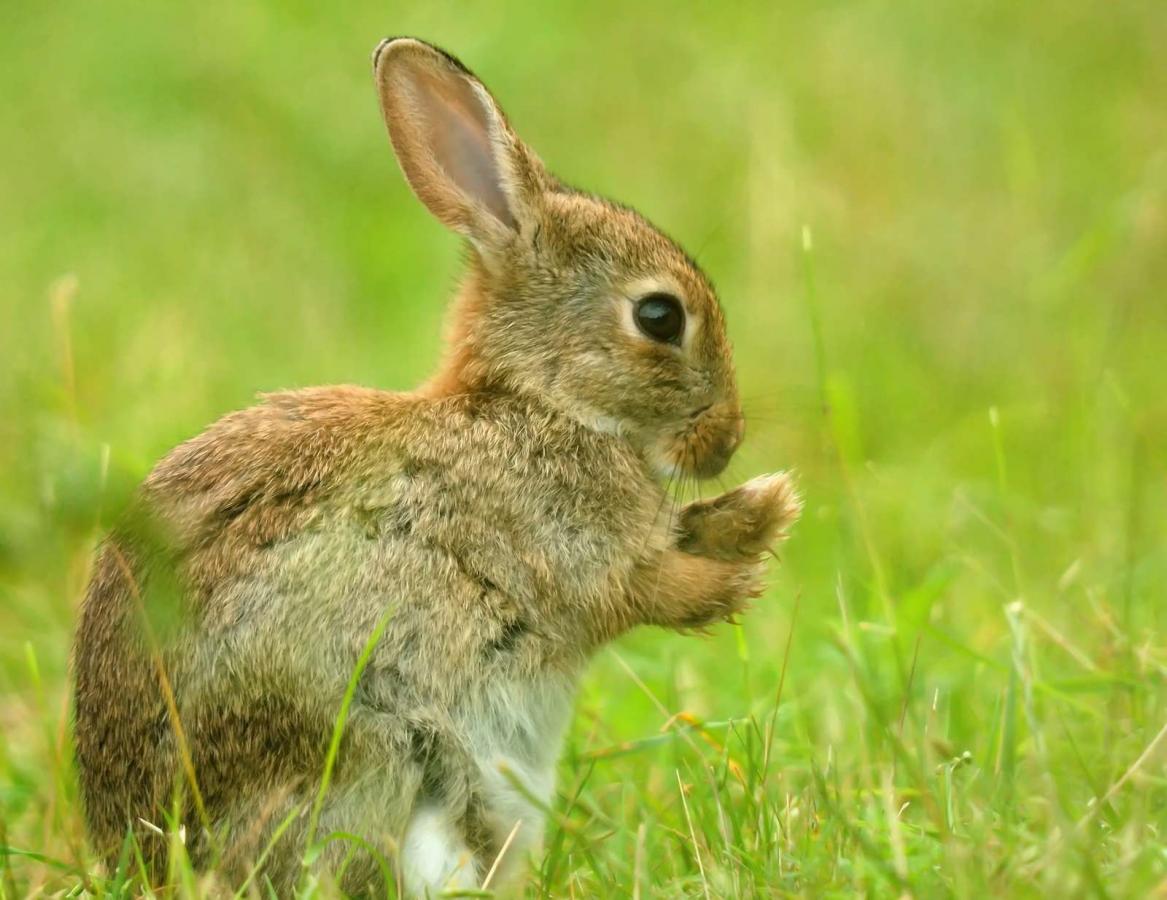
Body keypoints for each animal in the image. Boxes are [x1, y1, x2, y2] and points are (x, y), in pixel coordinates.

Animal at [72, 37, 801, 896]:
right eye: (659, 316)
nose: (726, 440)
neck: (537, 403)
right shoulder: (568, 551)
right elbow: (643, 591)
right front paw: (748, 560)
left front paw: (755, 511)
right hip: (366, 756)